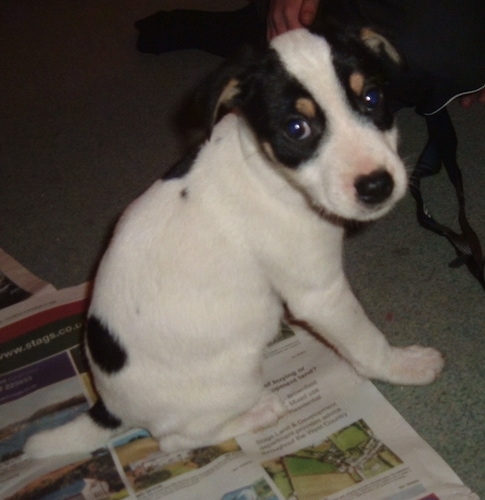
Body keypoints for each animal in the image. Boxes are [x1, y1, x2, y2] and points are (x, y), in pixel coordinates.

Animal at [25, 27, 442, 458]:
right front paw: (403, 366)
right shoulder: (321, 295)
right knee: (176, 440)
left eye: (373, 97)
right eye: (296, 128)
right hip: (236, 382)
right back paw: (258, 414)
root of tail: (109, 407)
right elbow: (366, 341)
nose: (377, 186)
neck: (267, 170)